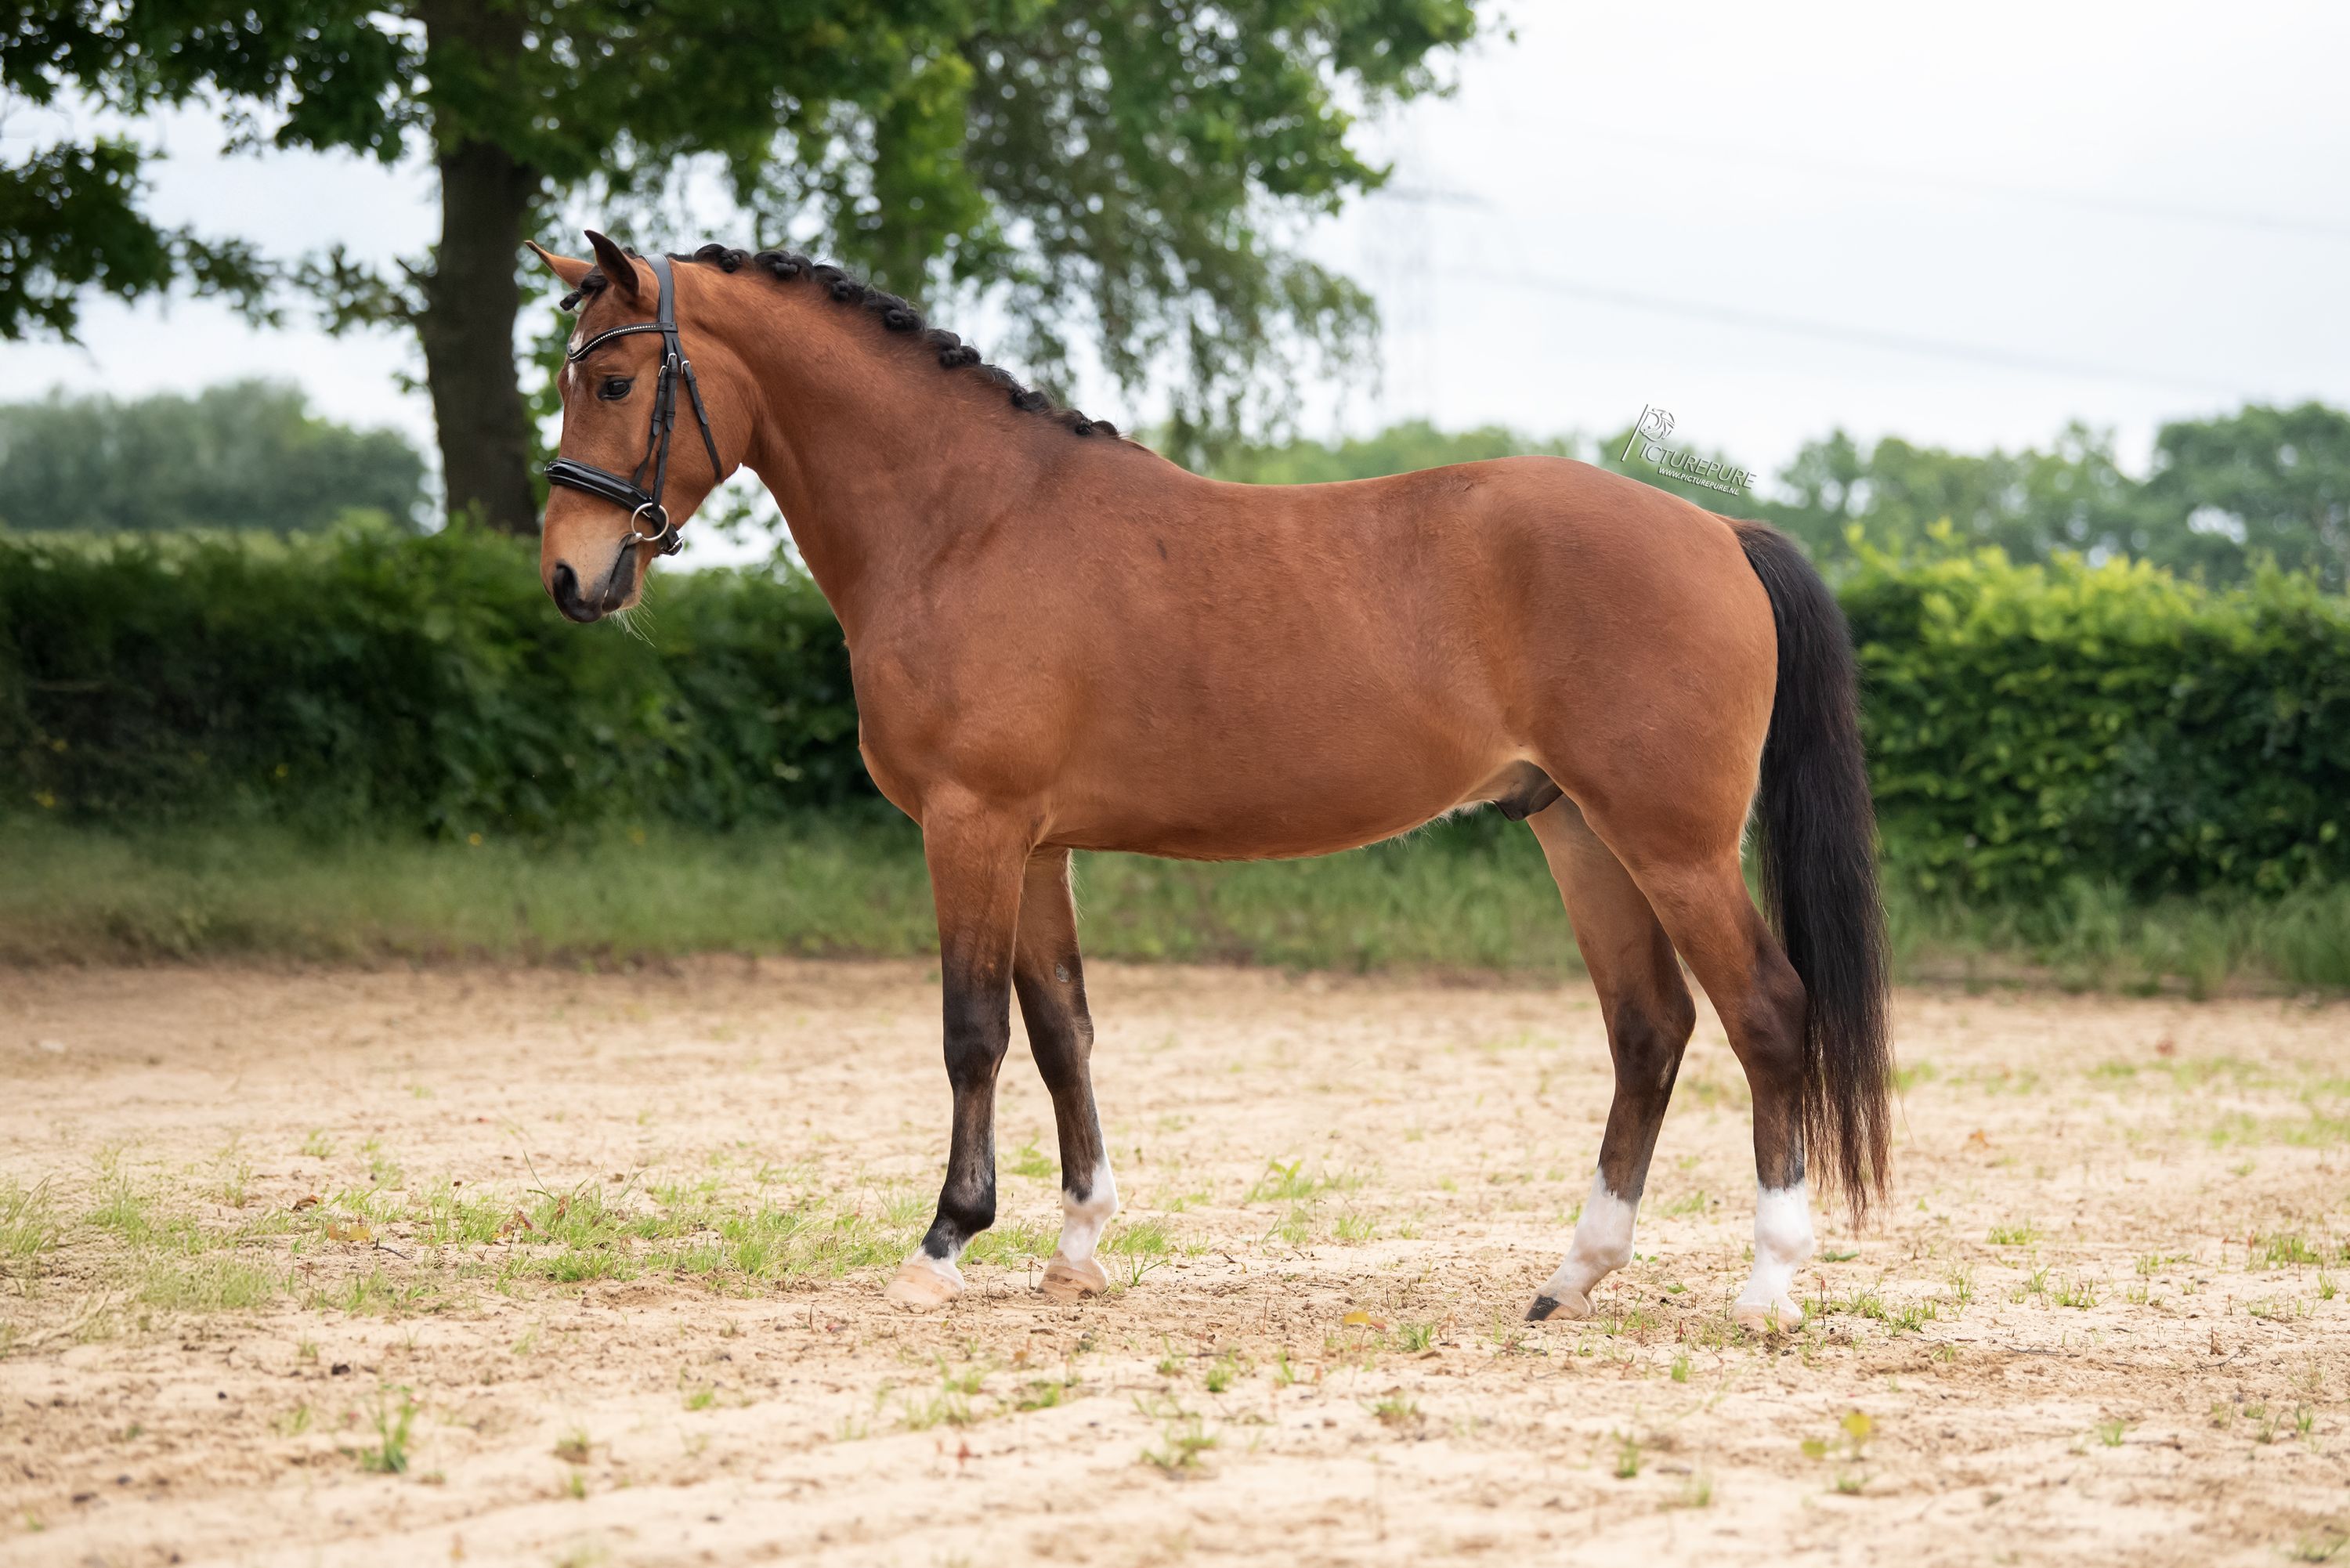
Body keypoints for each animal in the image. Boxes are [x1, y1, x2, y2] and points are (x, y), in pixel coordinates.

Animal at [527, 231, 1892, 1331]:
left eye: (614, 380)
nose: (568, 576)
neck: (967, 520)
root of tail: (1717, 532)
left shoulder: (973, 825)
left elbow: (974, 1031)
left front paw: (943, 1244)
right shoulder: (1037, 844)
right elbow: (1062, 1030)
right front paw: (1078, 1246)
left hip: (1671, 842)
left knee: (1767, 1012)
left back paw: (1768, 1282)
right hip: (1577, 829)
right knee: (1648, 1028)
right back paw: (1572, 1274)